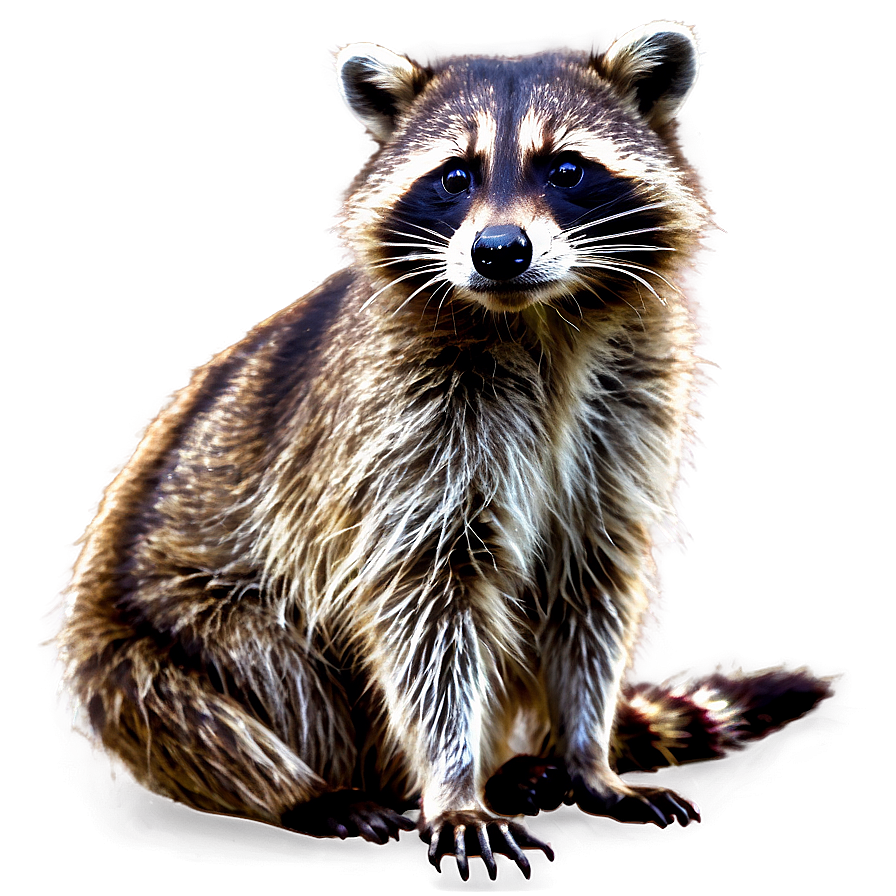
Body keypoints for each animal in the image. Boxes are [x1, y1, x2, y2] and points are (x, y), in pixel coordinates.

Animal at [56, 21, 834, 880]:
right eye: (455, 177)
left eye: (567, 168)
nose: (498, 249)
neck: (537, 321)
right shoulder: (400, 427)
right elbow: (426, 605)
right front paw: (454, 784)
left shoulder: (625, 417)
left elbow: (589, 585)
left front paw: (587, 754)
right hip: (141, 634)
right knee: (224, 689)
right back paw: (306, 790)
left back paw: (525, 767)